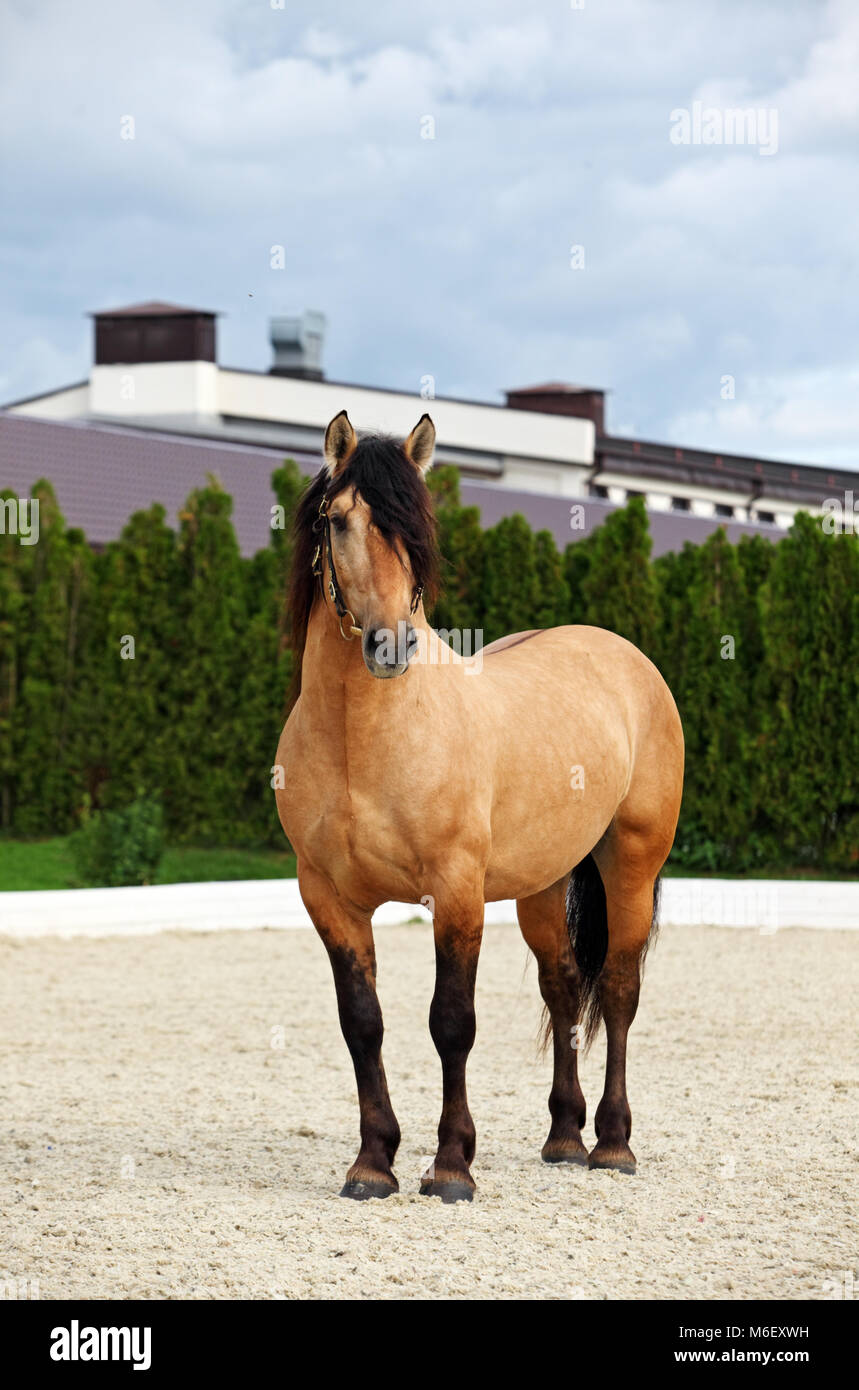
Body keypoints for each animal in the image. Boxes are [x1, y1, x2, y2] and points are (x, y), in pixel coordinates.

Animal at [275, 410, 684, 1203]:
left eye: (417, 526)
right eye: (339, 521)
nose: (390, 645)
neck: (362, 739)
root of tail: (624, 656)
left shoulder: (457, 890)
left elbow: (451, 1023)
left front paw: (450, 1167)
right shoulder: (328, 897)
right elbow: (362, 1024)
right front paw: (372, 1163)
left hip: (631, 864)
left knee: (619, 990)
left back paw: (612, 1145)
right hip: (541, 884)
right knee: (563, 988)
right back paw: (563, 1137)